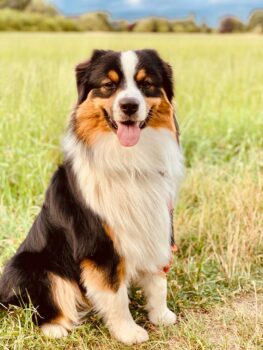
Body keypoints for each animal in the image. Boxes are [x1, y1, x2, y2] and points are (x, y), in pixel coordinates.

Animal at [0, 49, 184, 344]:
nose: (129, 106)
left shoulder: (158, 221)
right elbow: (115, 294)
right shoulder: (98, 243)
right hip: (31, 266)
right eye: (108, 85)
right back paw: (56, 327)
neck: (129, 162)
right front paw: (128, 332)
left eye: (146, 84)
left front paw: (161, 316)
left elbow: (158, 280)